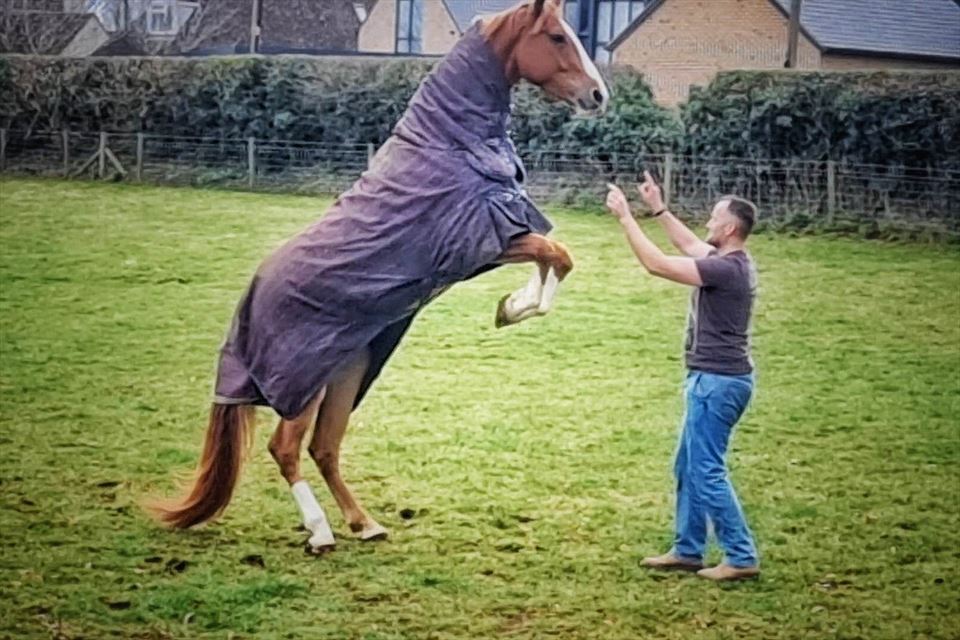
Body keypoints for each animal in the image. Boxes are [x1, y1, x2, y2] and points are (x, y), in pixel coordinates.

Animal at [151, 0, 609, 554]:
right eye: (558, 37)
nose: (598, 95)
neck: (449, 144)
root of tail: (246, 306)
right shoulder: (487, 237)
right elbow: (558, 256)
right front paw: (516, 308)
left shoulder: (497, 237)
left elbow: (555, 257)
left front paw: (510, 307)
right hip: (303, 384)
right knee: (286, 447)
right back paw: (321, 532)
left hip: (346, 372)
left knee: (325, 446)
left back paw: (364, 523)